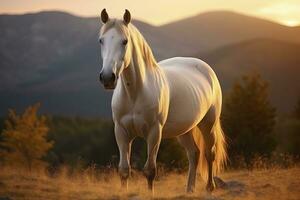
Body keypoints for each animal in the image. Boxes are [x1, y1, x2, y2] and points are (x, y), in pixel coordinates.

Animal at [98, 9, 227, 194]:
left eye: (125, 41)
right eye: (101, 40)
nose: (108, 78)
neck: (135, 93)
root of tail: (206, 68)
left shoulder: (154, 133)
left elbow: (150, 171)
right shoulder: (121, 132)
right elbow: (124, 170)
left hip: (208, 124)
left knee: (209, 154)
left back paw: (209, 188)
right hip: (185, 130)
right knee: (194, 153)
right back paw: (189, 190)